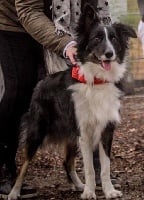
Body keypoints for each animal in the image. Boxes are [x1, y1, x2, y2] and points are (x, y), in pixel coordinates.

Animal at [8, 3, 137, 200]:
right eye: (97, 38)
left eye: (114, 39)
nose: (109, 54)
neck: (96, 81)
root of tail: (43, 80)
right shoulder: (84, 131)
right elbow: (90, 168)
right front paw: (90, 192)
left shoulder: (106, 130)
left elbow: (105, 167)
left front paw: (108, 191)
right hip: (37, 131)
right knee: (24, 164)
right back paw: (14, 192)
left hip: (71, 135)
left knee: (66, 162)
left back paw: (79, 185)